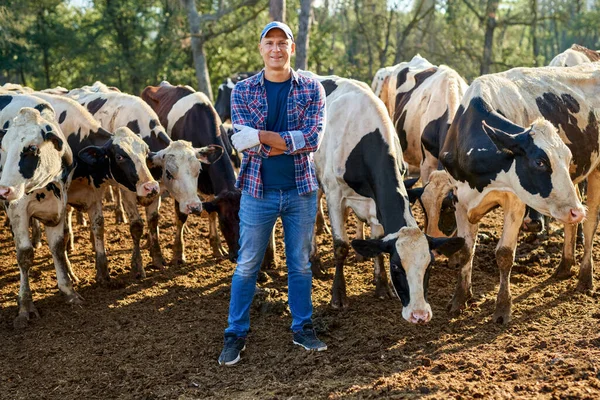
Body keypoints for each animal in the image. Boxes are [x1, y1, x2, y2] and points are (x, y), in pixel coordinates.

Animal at [0, 107, 82, 328]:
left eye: (31, 148)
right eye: (3, 148)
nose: (3, 190)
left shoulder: (59, 207)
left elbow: (58, 247)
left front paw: (68, 289)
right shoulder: (16, 210)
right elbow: (25, 255)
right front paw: (25, 306)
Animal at [65, 86, 224, 276]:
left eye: (198, 170)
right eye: (169, 173)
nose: (194, 206)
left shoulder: (156, 190)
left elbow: (153, 221)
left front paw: (157, 258)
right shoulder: (127, 192)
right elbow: (136, 226)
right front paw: (137, 265)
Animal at [141, 81, 241, 262]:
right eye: (225, 221)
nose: (238, 255)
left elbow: (211, 212)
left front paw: (217, 247)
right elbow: (181, 216)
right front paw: (178, 253)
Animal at [304, 71, 464, 322]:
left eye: (428, 266)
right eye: (397, 267)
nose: (419, 314)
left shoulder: (374, 204)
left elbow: (378, 240)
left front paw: (382, 286)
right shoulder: (334, 194)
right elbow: (341, 246)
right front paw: (338, 297)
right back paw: (315, 262)